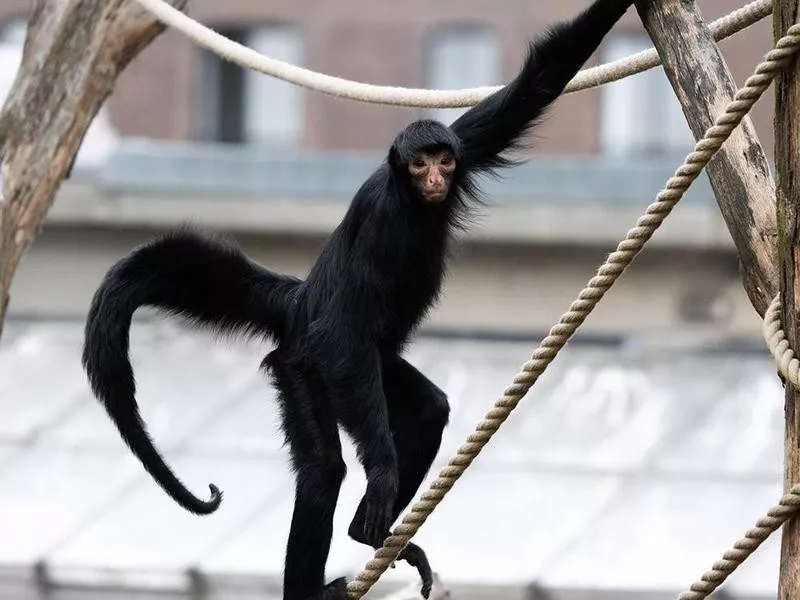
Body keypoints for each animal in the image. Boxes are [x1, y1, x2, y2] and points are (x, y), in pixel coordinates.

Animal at [81, 1, 636, 600]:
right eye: (419, 165)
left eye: (442, 159)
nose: (435, 177)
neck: (412, 205)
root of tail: (299, 300)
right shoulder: (381, 224)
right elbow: (343, 331)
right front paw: (382, 478)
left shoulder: (465, 143)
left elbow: (540, 79)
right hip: (307, 365)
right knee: (324, 466)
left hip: (368, 370)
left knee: (427, 409)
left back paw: (368, 533)